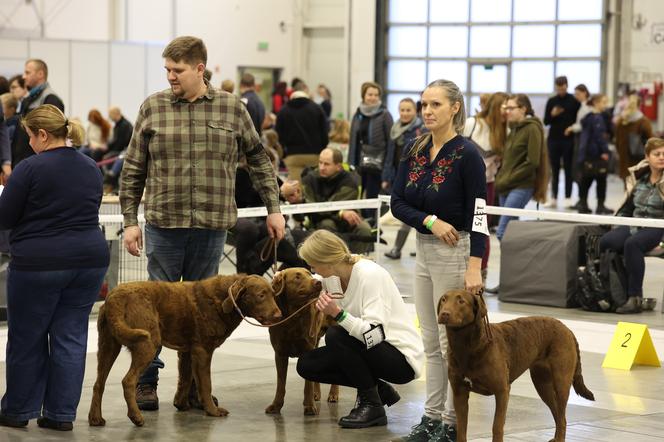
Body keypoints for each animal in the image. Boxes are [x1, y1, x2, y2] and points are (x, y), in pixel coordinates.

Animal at [89, 274, 282, 426]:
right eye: (261, 295)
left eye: (273, 295)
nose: (279, 315)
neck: (221, 301)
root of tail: (114, 297)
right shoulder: (203, 350)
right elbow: (206, 383)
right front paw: (212, 410)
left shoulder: (187, 352)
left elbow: (186, 379)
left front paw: (182, 405)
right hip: (148, 343)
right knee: (127, 381)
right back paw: (136, 417)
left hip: (107, 345)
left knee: (99, 383)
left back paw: (95, 419)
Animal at [264, 268, 340, 416]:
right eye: (297, 277)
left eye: (309, 274)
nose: (318, 282)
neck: (292, 318)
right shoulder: (280, 353)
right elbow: (280, 383)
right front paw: (276, 406)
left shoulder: (307, 349)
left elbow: (307, 385)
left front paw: (309, 406)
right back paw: (317, 394)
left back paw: (333, 394)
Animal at [436, 290, 596, 442]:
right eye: (443, 299)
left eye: (461, 301)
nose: (444, 313)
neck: (468, 346)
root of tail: (567, 329)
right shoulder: (459, 393)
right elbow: (462, 429)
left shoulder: (502, 391)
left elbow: (497, 426)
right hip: (542, 383)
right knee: (557, 413)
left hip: (561, 381)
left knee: (562, 417)